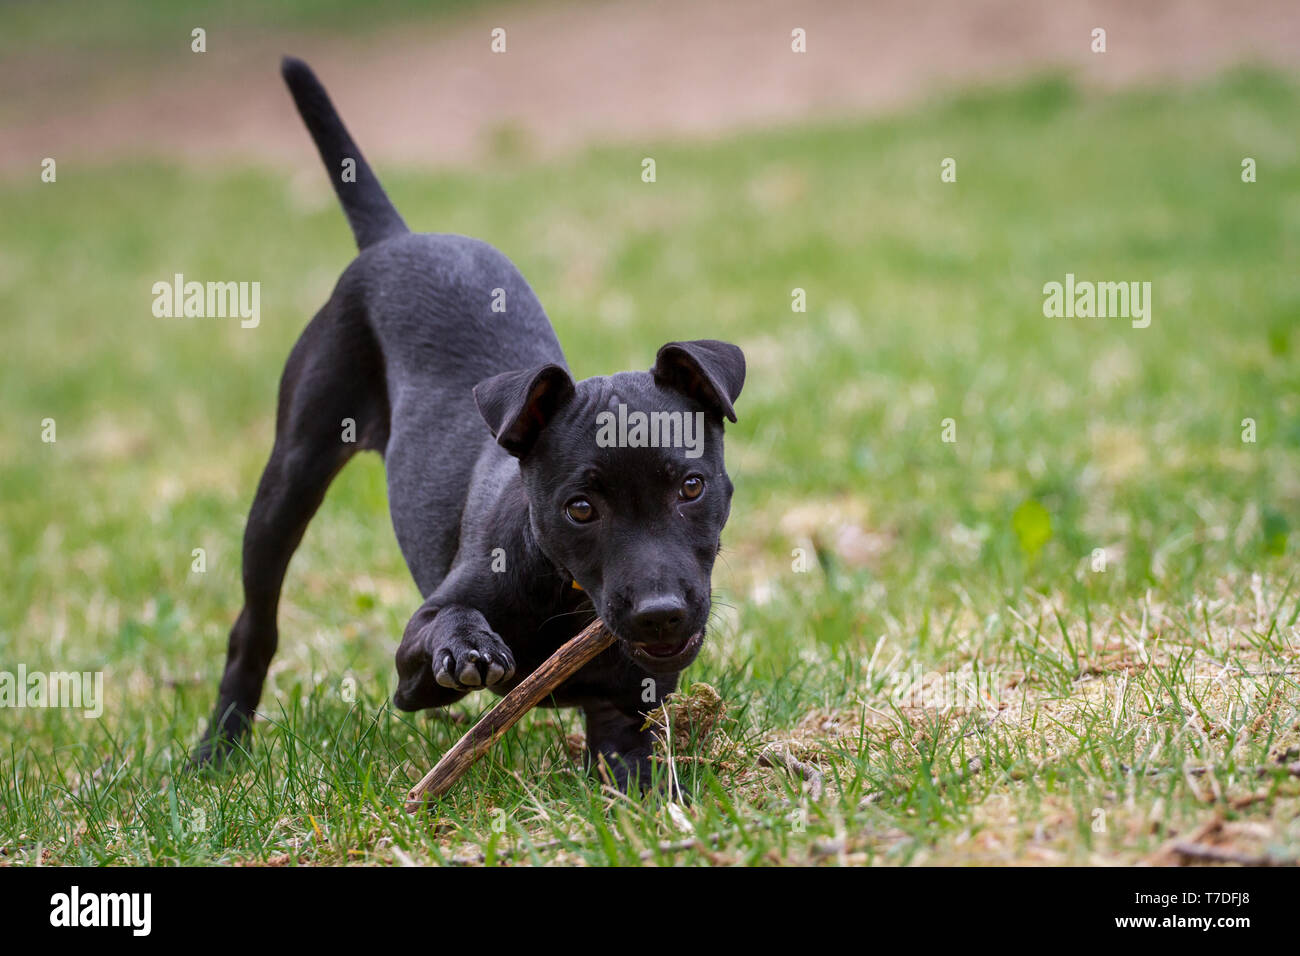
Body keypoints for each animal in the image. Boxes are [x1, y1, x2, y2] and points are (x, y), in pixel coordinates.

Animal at [189, 61, 743, 790]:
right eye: (580, 507)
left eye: (691, 487)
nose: (660, 614)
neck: (569, 596)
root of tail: (397, 237)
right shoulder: (411, 662)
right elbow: (441, 632)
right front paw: (467, 643)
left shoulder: (626, 716)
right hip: (291, 474)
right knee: (254, 625)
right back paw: (218, 748)